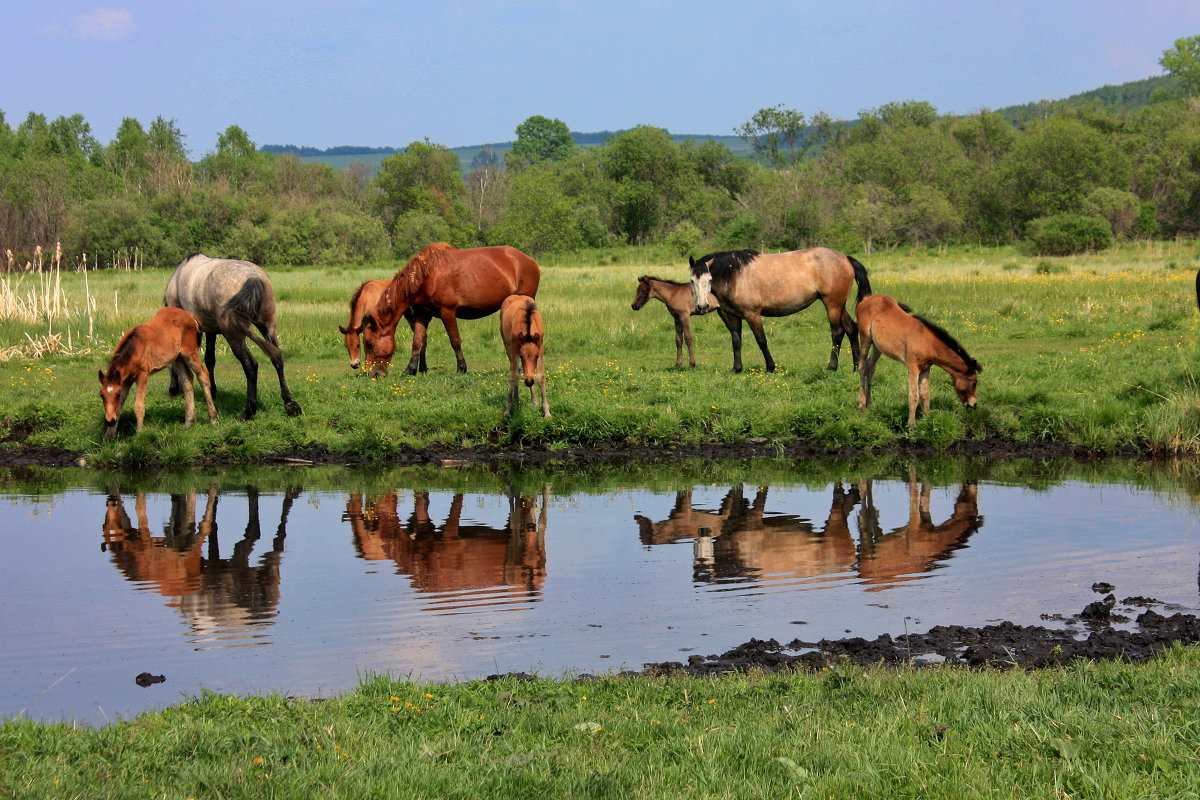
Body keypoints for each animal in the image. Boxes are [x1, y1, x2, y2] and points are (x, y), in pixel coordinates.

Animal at [98, 307, 218, 438]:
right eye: (101, 395)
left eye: (117, 394)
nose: (109, 420)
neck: (135, 348)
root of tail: (191, 315)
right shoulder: (126, 380)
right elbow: (119, 407)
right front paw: (109, 436)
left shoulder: (143, 375)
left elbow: (138, 406)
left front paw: (140, 433)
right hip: (177, 358)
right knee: (187, 379)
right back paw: (189, 421)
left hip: (190, 353)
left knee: (202, 375)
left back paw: (213, 419)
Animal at [357, 242, 542, 376]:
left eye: (369, 343)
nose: (371, 374)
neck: (426, 274)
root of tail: (530, 261)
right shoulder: (421, 314)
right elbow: (417, 341)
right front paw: (410, 369)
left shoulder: (447, 311)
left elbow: (455, 340)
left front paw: (462, 368)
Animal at [691, 247, 878, 371]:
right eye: (692, 281)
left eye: (709, 280)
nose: (702, 306)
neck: (735, 275)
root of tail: (844, 258)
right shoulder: (732, 315)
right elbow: (736, 341)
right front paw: (736, 369)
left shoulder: (752, 314)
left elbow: (761, 340)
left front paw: (770, 367)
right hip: (839, 305)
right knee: (851, 329)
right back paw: (856, 367)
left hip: (832, 304)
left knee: (837, 333)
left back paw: (832, 367)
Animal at [859, 293, 979, 429]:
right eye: (974, 382)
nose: (974, 404)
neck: (927, 343)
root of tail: (866, 299)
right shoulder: (913, 367)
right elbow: (914, 395)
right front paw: (911, 425)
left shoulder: (926, 368)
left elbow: (925, 394)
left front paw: (927, 419)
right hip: (865, 338)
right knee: (862, 367)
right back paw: (861, 405)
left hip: (877, 347)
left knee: (870, 367)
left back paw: (868, 404)